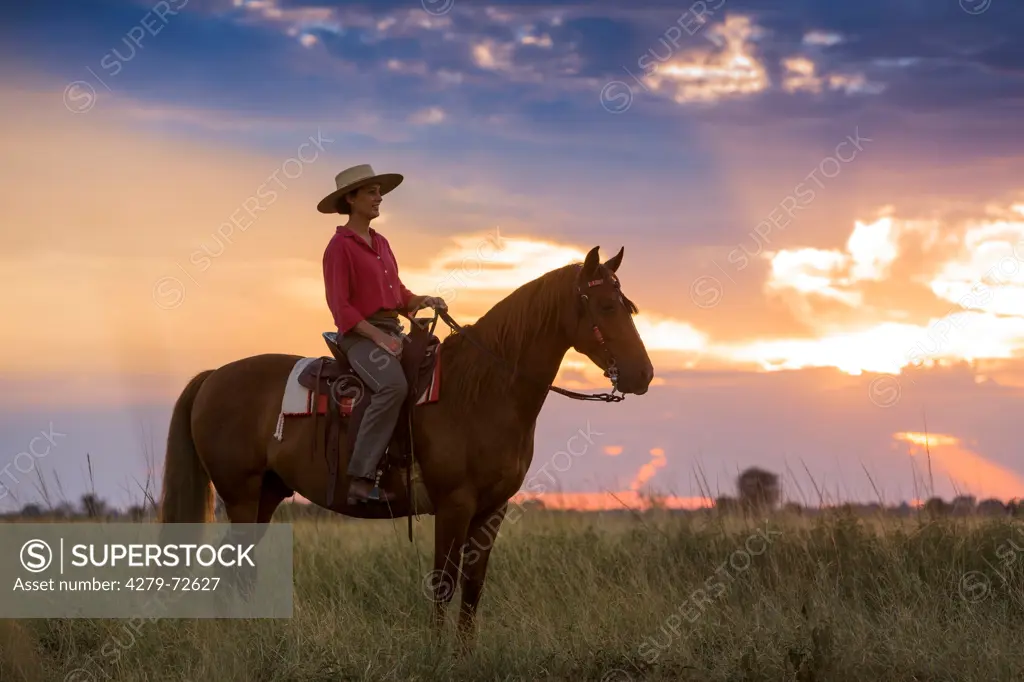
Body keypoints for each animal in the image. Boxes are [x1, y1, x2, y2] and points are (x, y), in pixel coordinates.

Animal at [159, 246, 655, 638]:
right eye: (605, 305)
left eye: (627, 304)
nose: (643, 375)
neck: (481, 389)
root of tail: (213, 377)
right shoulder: (454, 504)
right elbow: (443, 583)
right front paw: (438, 655)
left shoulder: (492, 510)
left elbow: (473, 589)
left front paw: (464, 655)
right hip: (241, 493)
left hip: (267, 494)